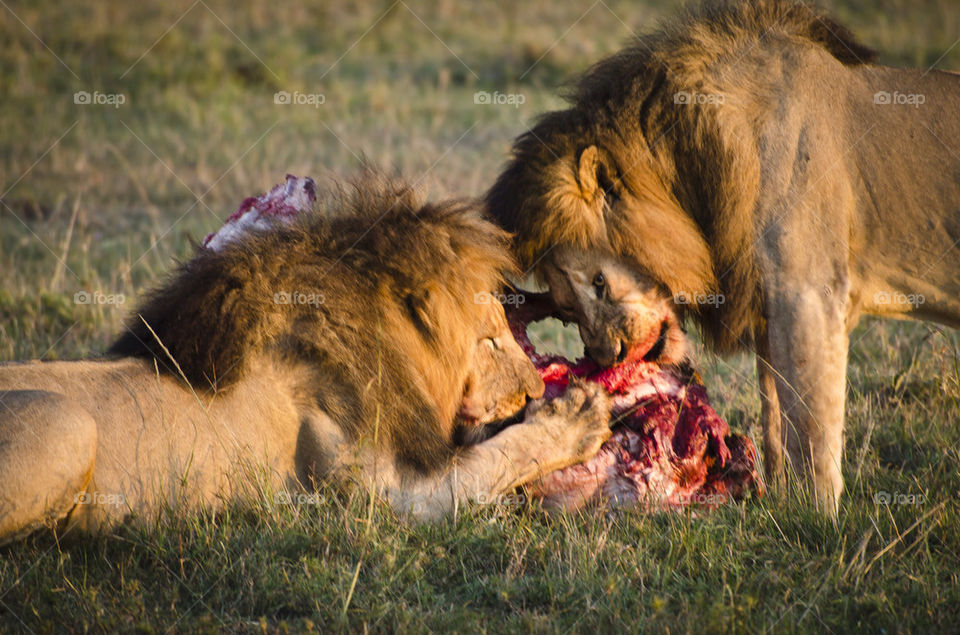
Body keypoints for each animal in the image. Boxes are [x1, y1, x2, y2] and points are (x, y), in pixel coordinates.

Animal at [0, 176, 612, 544]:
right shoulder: (387, 499)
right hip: (68, 424)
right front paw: (578, 416)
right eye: (489, 340)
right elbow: (496, 459)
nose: (534, 389)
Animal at [488, 0, 960, 516]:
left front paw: (819, 517)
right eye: (566, 307)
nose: (607, 356)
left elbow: (810, 424)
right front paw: (779, 498)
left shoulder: (808, 294)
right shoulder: (769, 304)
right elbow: (776, 416)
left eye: (598, 282)